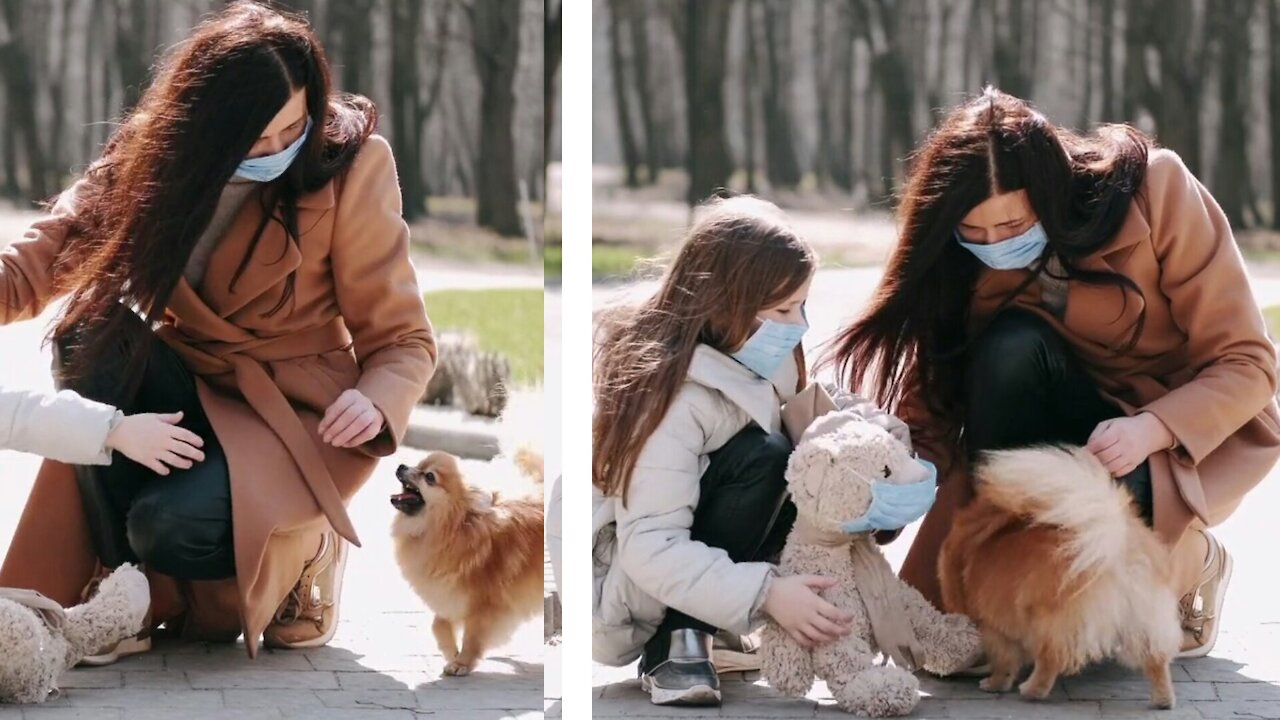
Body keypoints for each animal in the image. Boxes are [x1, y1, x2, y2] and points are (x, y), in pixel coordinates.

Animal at [394, 448, 545, 671]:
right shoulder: (451, 595)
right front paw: (451, 652)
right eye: (418, 465)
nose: (401, 466)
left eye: (429, 476)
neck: (453, 529)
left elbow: (472, 636)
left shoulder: (483, 605)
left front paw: (462, 663)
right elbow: (438, 624)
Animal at [942, 443, 1177, 707]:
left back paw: (1032, 690)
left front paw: (994, 684)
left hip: (1050, 624)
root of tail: (1117, 545)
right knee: (1156, 660)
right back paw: (1163, 699)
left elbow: (1005, 662)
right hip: (1144, 620)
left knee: (1050, 660)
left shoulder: (994, 627)